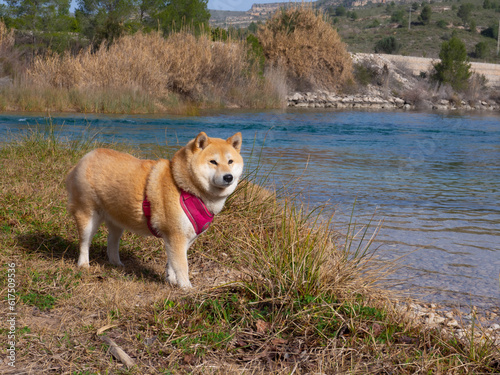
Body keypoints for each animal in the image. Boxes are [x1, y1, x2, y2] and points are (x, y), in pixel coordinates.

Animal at [67, 134, 244, 290]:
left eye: (230, 161)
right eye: (213, 162)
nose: (228, 177)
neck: (186, 188)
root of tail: (86, 157)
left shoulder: (184, 238)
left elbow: (172, 263)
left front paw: (171, 280)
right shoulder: (176, 235)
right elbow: (182, 265)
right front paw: (186, 287)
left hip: (117, 221)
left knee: (112, 242)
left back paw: (116, 263)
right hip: (88, 216)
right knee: (84, 242)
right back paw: (83, 264)